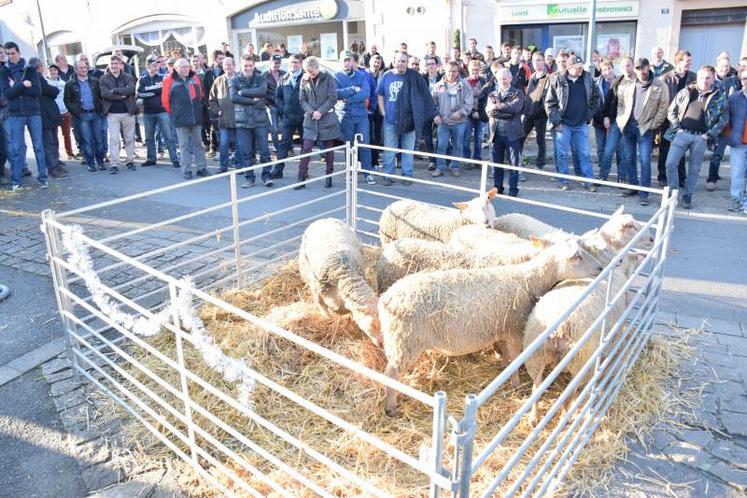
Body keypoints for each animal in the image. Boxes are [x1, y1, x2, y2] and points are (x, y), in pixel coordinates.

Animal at [296, 218, 380, 346]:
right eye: (371, 326)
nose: (381, 344)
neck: (345, 275)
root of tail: (324, 219)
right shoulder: (317, 289)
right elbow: (322, 306)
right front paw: (329, 318)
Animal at [376, 239, 604, 414]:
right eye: (577, 256)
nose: (601, 268)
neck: (530, 279)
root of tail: (386, 299)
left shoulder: (502, 331)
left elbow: (506, 355)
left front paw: (504, 368)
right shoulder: (514, 330)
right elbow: (515, 358)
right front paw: (516, 384)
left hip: (399, 340)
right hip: (405, 341)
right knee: (391, 374)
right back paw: (391, 407)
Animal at [520, 255, 644, 426]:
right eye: (627, 258)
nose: (640, 257)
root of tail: (561, 328)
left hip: (536, 357)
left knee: (536, 389)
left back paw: (533, 417)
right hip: (580, 362)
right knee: (569, 395)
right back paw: (566, 417)